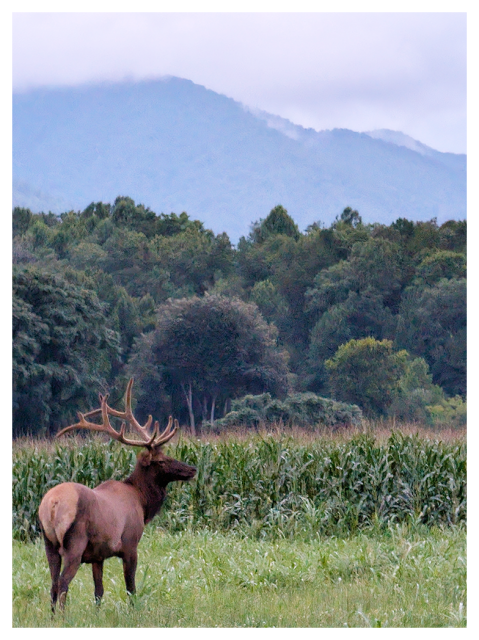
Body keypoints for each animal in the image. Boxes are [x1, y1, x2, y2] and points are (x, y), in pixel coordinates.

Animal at [38, 379, 196, 611]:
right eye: (161, 460)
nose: (192, 469)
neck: (142, 502)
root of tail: (52, 504)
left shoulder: (98, 555)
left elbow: (98, 592)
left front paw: (97, 614)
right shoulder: (130, 543)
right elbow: (131, 588)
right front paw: (134, 612)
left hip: (49, 543)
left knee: (52, 585)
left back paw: (51, 616)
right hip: (74, 543)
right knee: (64, 584)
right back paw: (63, 616)